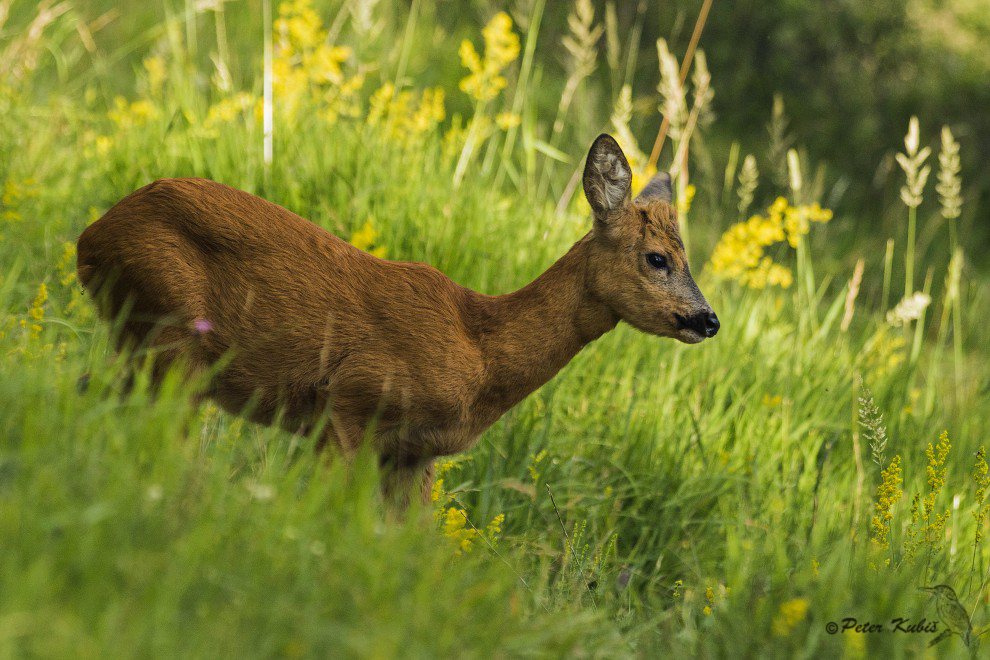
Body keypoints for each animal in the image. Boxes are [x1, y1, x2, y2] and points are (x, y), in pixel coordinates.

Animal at [73, 134, 716, 506]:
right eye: (657, 258)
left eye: (686, 257)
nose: (707, 319)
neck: (482, 355)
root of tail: (93, 236)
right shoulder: (352, 396)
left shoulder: (415, 456)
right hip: (175, 334)